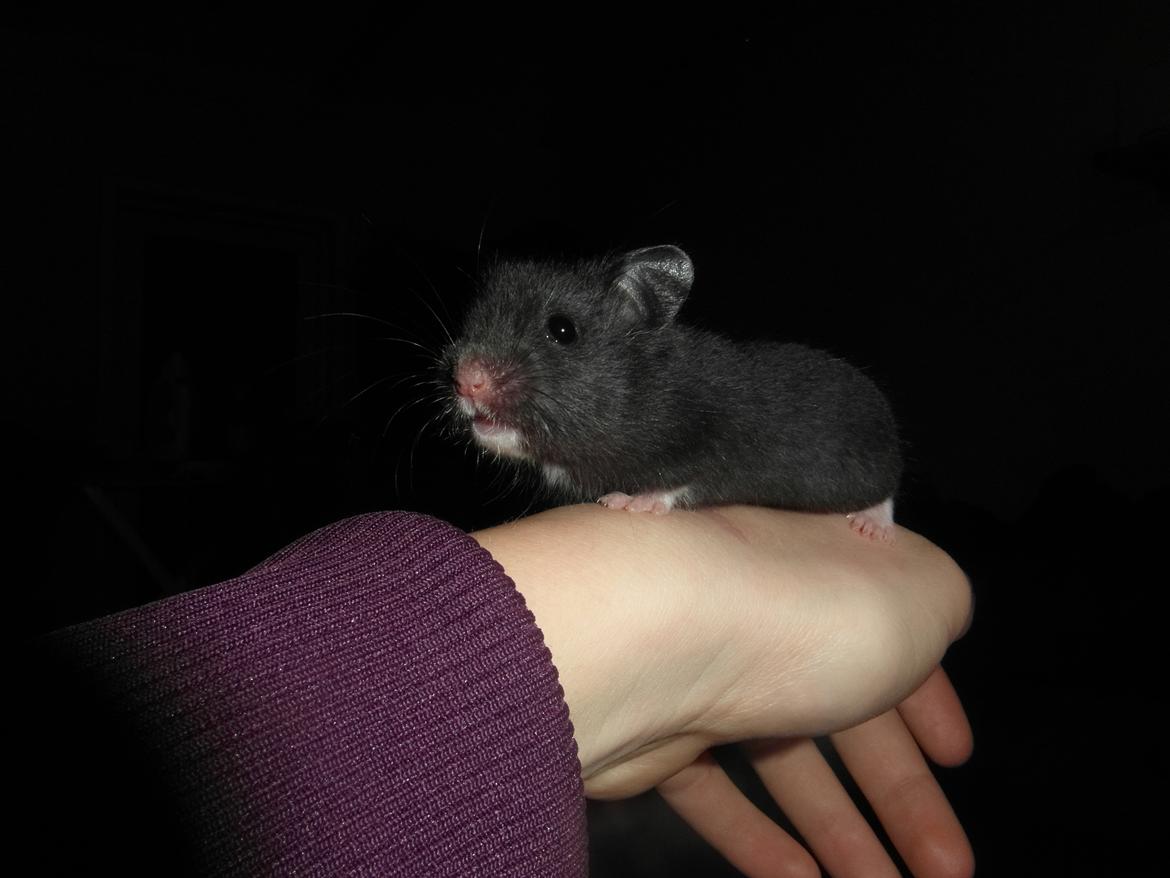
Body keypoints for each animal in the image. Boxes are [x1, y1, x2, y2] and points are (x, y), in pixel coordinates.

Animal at [443, 245, 902, 540]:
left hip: (867, 465)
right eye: (475, 317)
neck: (636, 390)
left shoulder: (709, 441)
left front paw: (626, 503)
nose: (466, 380)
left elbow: (678, 478)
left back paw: (871, 527)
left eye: (562, 330)